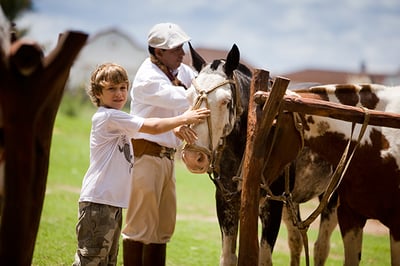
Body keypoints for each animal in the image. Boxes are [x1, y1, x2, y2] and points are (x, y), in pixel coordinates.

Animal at [183, 43, 400, 264]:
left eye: (226, 101)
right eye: (189, 96)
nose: (193, 157)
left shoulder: (272, 207)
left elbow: (264, 258)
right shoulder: (225, 201)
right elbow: (228, 257)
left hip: (330, 200)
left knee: (320, 247)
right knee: (296, 241)